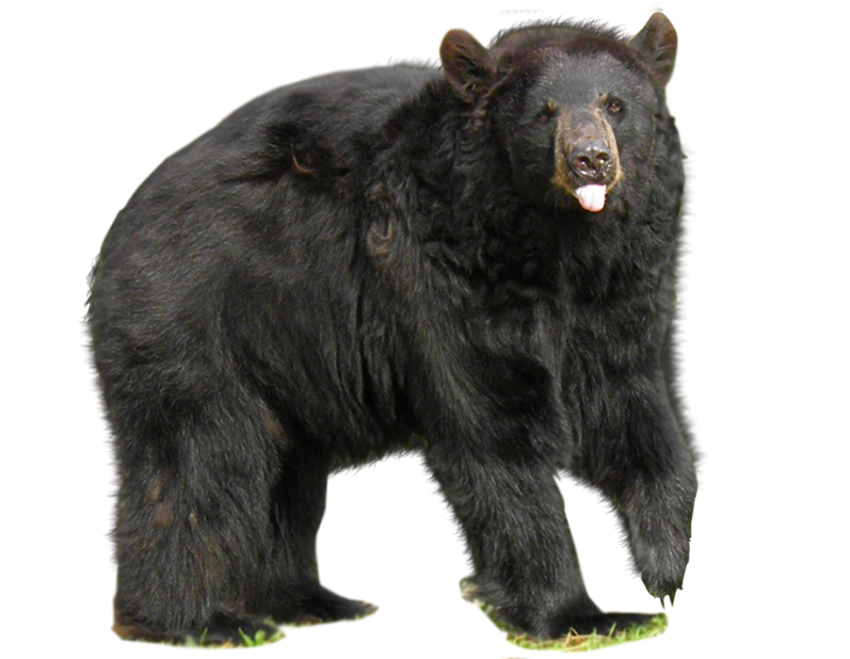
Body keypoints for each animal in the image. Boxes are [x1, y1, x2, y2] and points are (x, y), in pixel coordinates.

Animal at [80, 11, 699, 643]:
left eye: (615, 104)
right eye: (543, 113)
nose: (590, 159)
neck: (554, 244)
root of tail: (122, 223)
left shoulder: (613, 297)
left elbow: (630, 407)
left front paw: (663, 563)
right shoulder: (446, 274)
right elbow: (496, 425)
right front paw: (580, 614)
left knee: (287, 474)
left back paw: (311, 601)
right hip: (195, 317)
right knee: (195, 462)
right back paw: (199, 621)